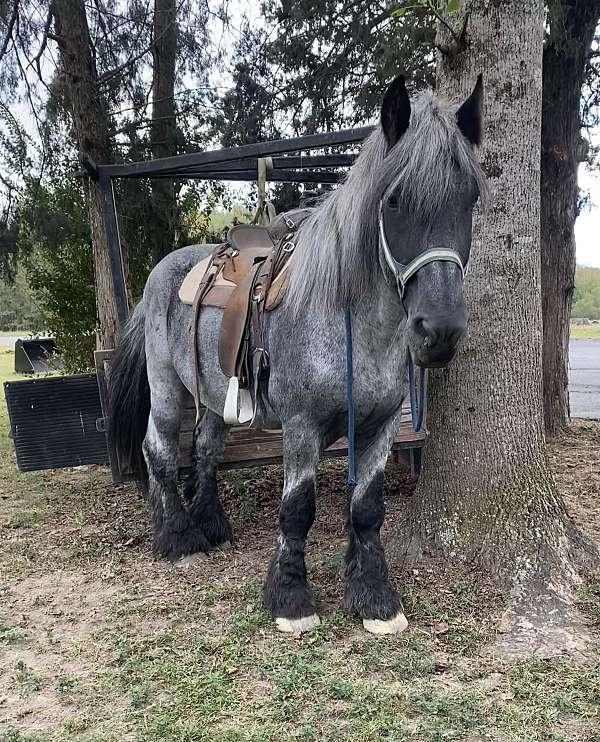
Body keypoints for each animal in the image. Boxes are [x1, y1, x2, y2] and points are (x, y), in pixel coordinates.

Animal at [109, 75, 488, 635]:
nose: (439, 330)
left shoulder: (379, 427)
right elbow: (297, 510)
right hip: (167, 387)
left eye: (470, 199)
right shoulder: (301, 426)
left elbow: (367, 509)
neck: (350, 324)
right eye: (394, 200)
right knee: (157, 448)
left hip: (216, 395)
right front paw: (290, 598)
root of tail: (162, 271)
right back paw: (178, 537)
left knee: (205, 449)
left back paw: (210, 522)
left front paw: (374, 596)